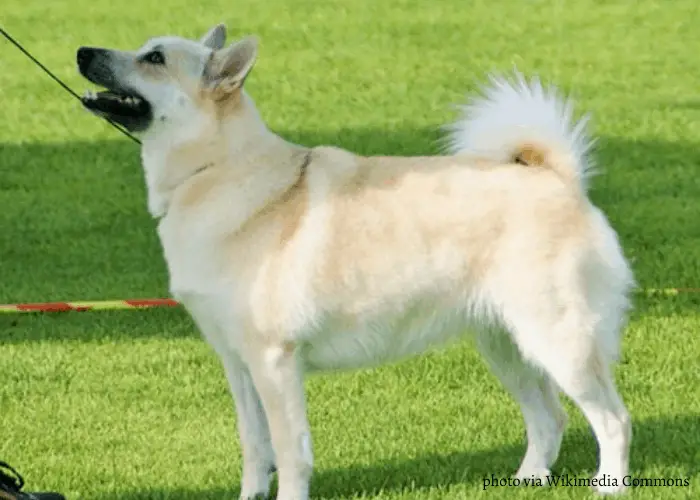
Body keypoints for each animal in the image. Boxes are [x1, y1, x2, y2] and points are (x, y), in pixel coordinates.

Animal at [75, 23, 636, 500]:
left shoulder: (273, 362)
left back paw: (607, 485)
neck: (217, 169)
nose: (82, 52)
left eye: (154, 59)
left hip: (559, 343)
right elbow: (254, 446)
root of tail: (557, 178)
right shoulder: (237, 362)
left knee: (613, 420)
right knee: (550, 419)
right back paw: (526, 480)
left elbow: (289, 453)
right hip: (506, 345)